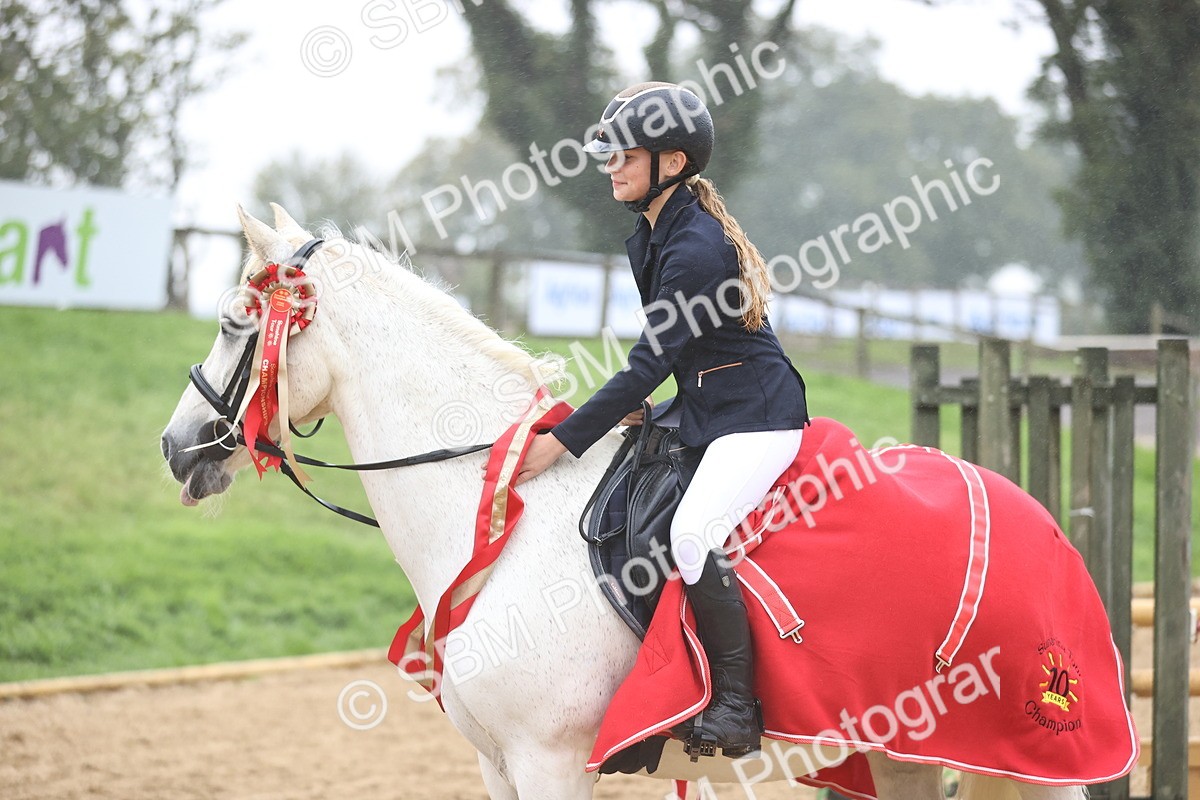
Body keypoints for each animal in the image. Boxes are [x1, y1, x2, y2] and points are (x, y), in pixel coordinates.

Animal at [161, 204, 1106, 800]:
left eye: (238, 321)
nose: (178, 446)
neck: (504, 515)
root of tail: (1047, 528)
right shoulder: (499, 767)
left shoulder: (549, 763)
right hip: (905, 754)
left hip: (1027, 764)